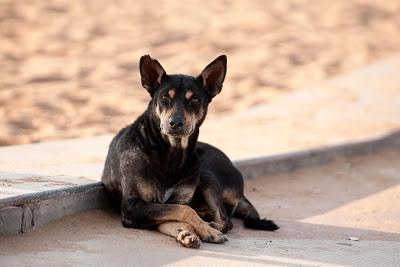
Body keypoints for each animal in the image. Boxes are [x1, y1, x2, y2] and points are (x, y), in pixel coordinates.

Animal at [101, 55, 280, 250]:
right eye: (165, 97)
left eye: (194, 100)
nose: (175, 123)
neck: (170, 153)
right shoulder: (133, 207)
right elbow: (181, 213)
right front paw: (190, 232)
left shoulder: (169, 202)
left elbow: (183, 210)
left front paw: (201, 231)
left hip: (206, 174)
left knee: (226, 221)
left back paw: (212, 225)